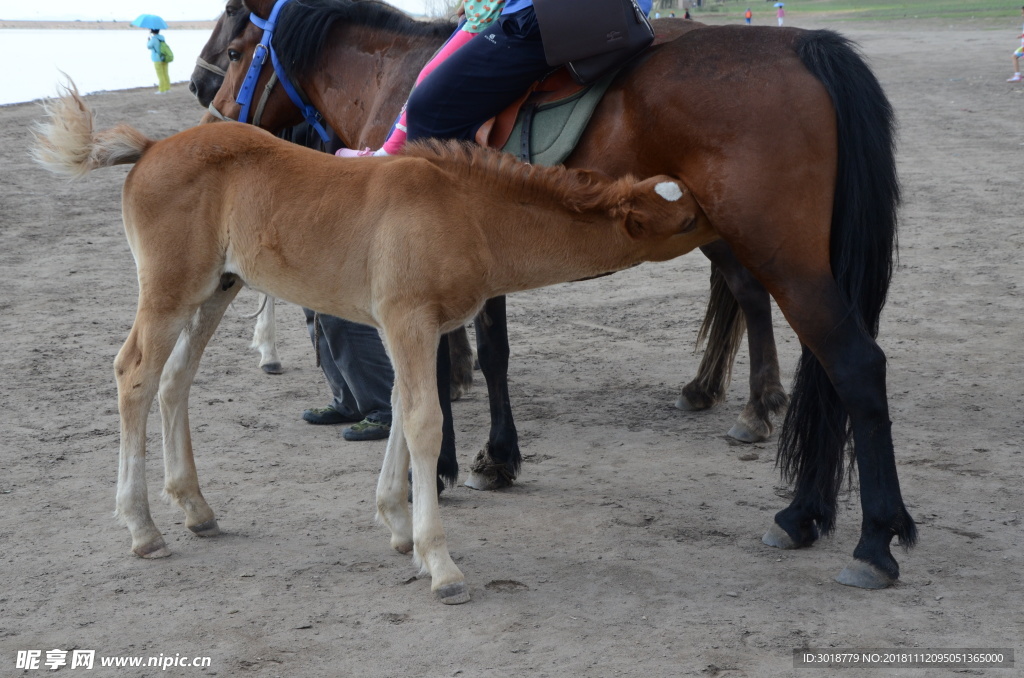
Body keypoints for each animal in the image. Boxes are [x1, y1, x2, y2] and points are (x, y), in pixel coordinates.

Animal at [33, 83, 712, 603]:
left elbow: (403, 412)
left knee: (174, 380)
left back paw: (196, 510)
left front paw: (399, 527)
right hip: (171, 290)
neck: (467, 213)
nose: (727, 224)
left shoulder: (416, 327)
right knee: (135, 374)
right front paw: (440, 564)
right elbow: (424, 420)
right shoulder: (408, 319)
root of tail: (151, 147)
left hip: (218, 288)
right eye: (688, 218)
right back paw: (144, 529)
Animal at [205, 0, 916, 589]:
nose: (205, 104)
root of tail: (803, 46)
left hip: (777, 253)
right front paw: (498, 458)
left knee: (851, 364)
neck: (394, 76)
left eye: (236, 51)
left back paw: (867, 537)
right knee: (801, 347)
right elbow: (492, 354)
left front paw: (444, 469)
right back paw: (791, 490)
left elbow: (435, 379)